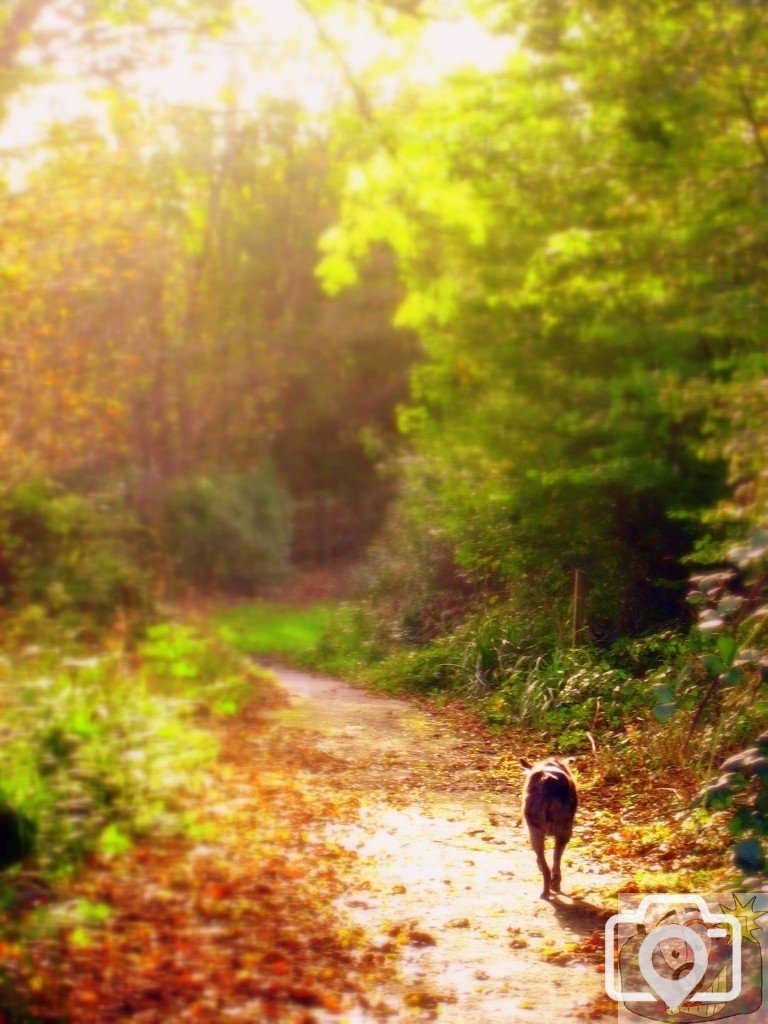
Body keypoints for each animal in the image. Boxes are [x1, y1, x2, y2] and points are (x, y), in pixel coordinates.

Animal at [524, 761, 577, 897]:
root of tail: (547, 779)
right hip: (563, 831)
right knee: (554, 861)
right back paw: (553, 885)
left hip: (535, 833)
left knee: (546, 865)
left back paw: (546, 890)